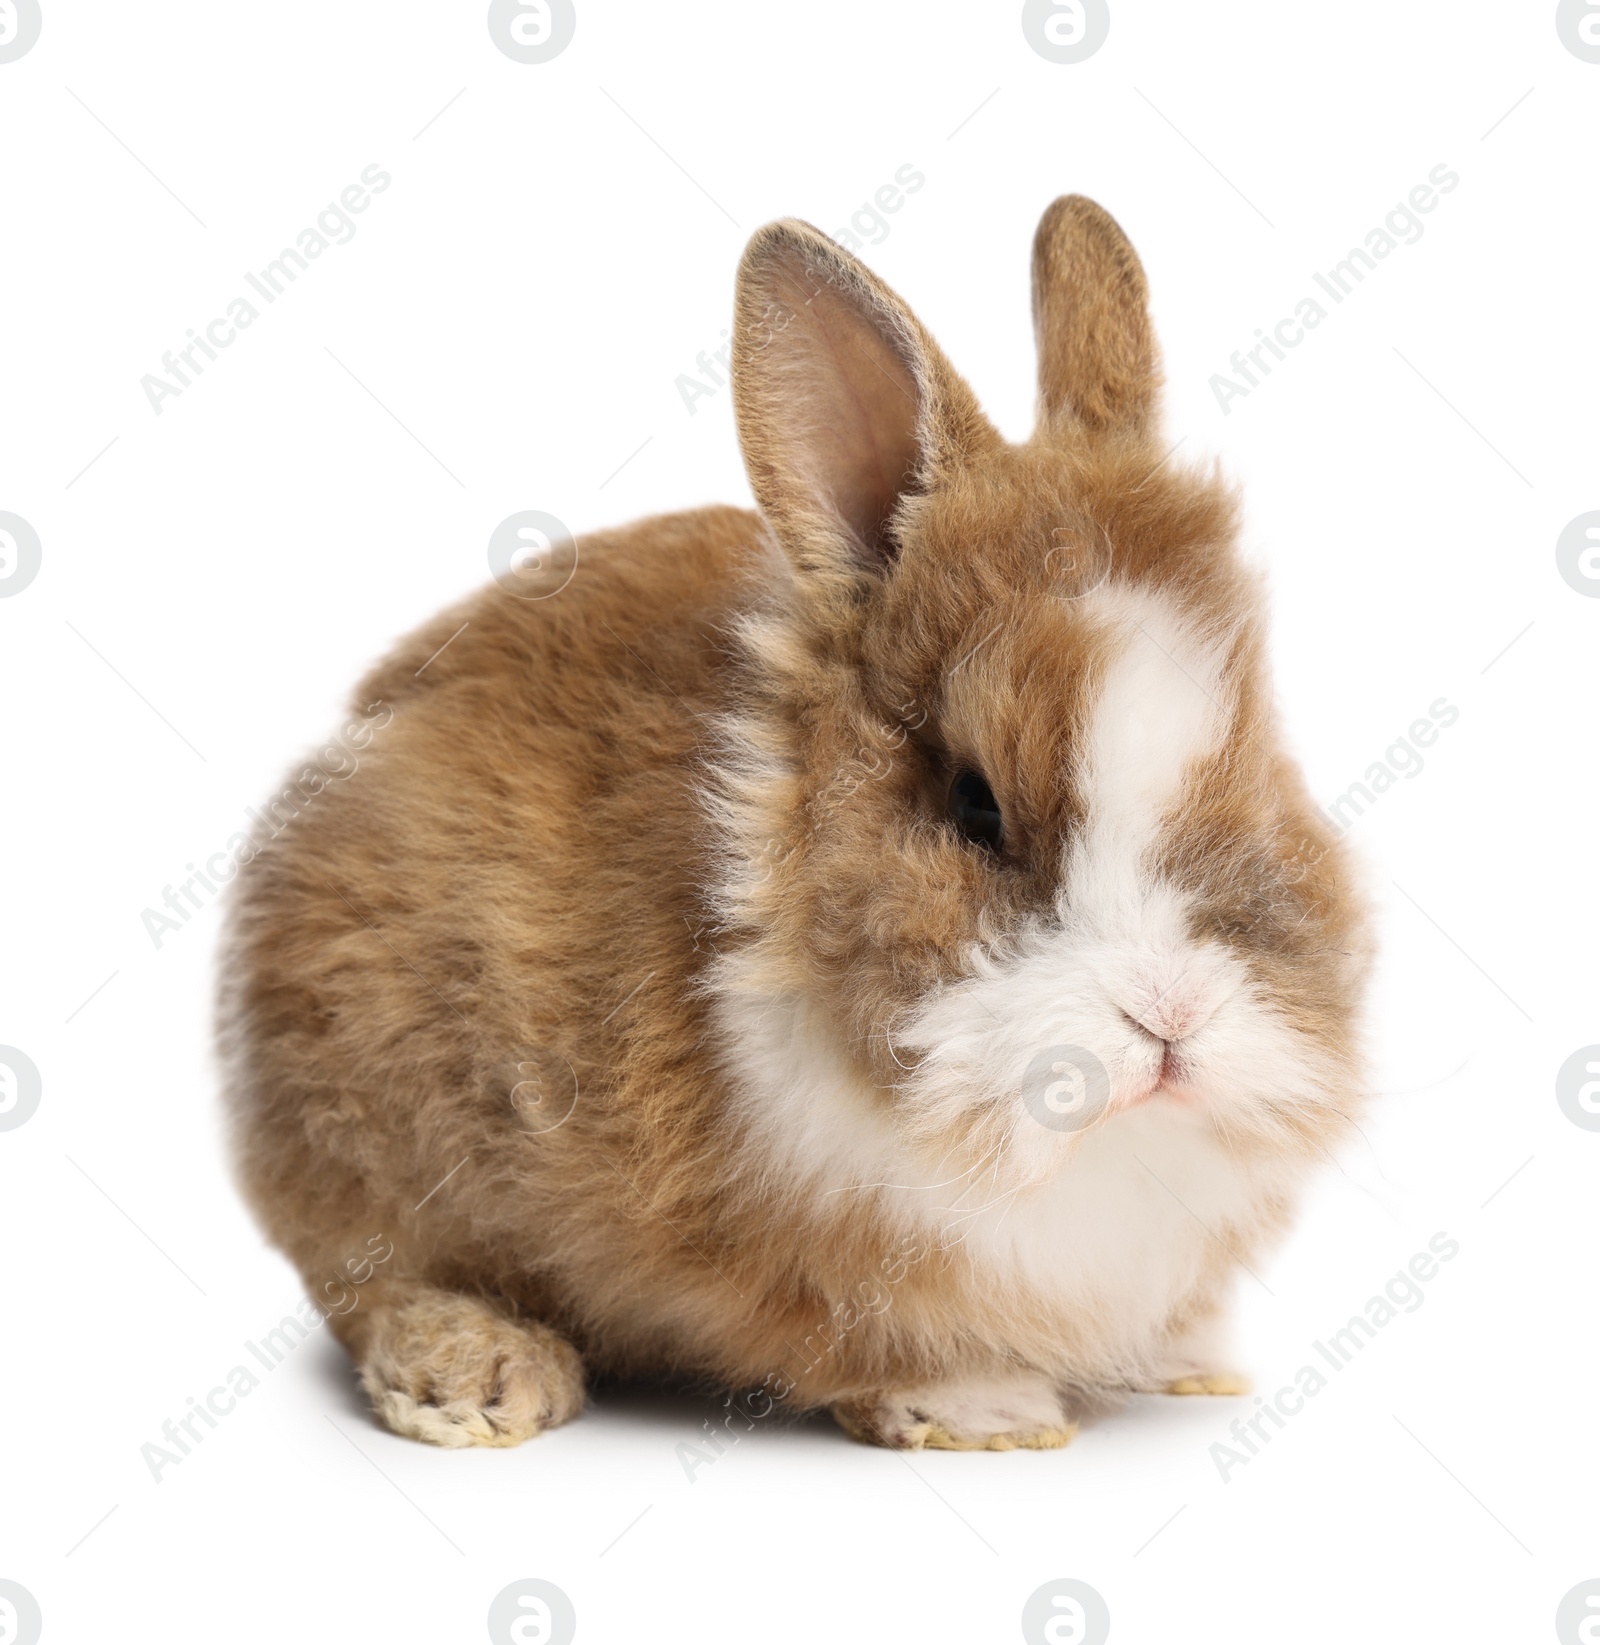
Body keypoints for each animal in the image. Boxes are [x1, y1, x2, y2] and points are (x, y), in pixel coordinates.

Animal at [218, 195, 1374, 1454]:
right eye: (974, 804)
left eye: (1261, 765)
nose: (1169, 1015)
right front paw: (988, 1410)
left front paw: (1188, 1361)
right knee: (368, 1276)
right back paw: (481, 1373)